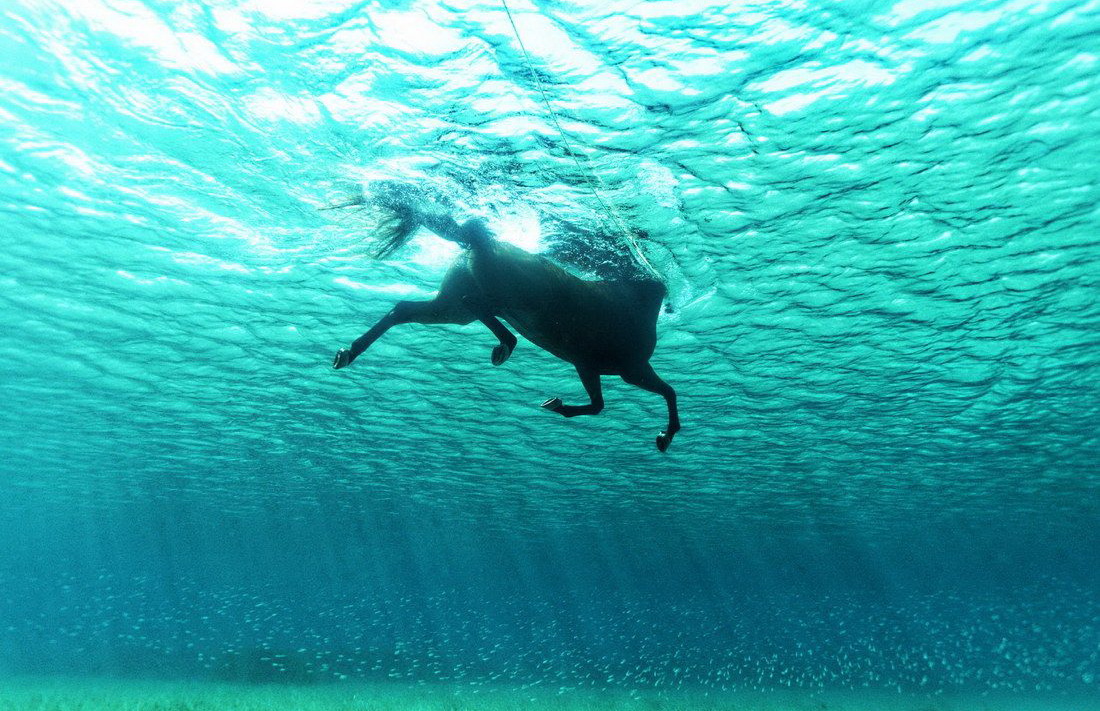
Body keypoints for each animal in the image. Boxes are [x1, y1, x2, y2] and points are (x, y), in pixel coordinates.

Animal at [331, 187, 681, 451]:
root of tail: (481, 243)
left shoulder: (596, 366)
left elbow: (607, 403)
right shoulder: (628, 368)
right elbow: (654, 395)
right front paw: (664, 436)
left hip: (453, 309)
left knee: (405, 309)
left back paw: (346, 354)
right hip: (500, 299)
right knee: (480, 309)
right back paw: (504, 346)